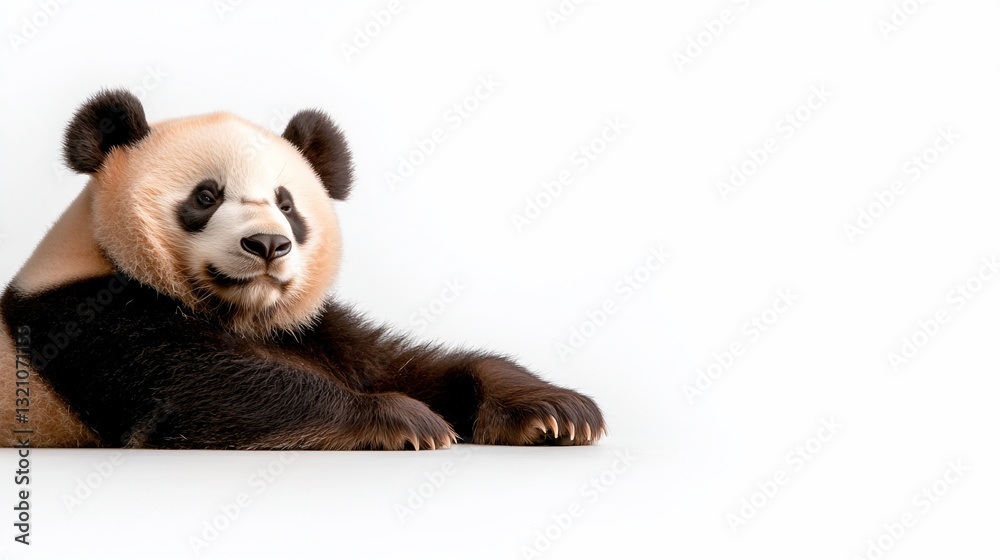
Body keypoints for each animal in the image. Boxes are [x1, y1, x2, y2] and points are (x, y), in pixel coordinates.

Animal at [0, 90, 605, 450]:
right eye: (205, 196)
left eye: (286, 203)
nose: (268, 244)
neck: (238, 312)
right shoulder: (84, 318)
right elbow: (195, 394)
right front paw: (404, 421)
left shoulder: (311, 330)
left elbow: (398, 365)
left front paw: (555, 410)